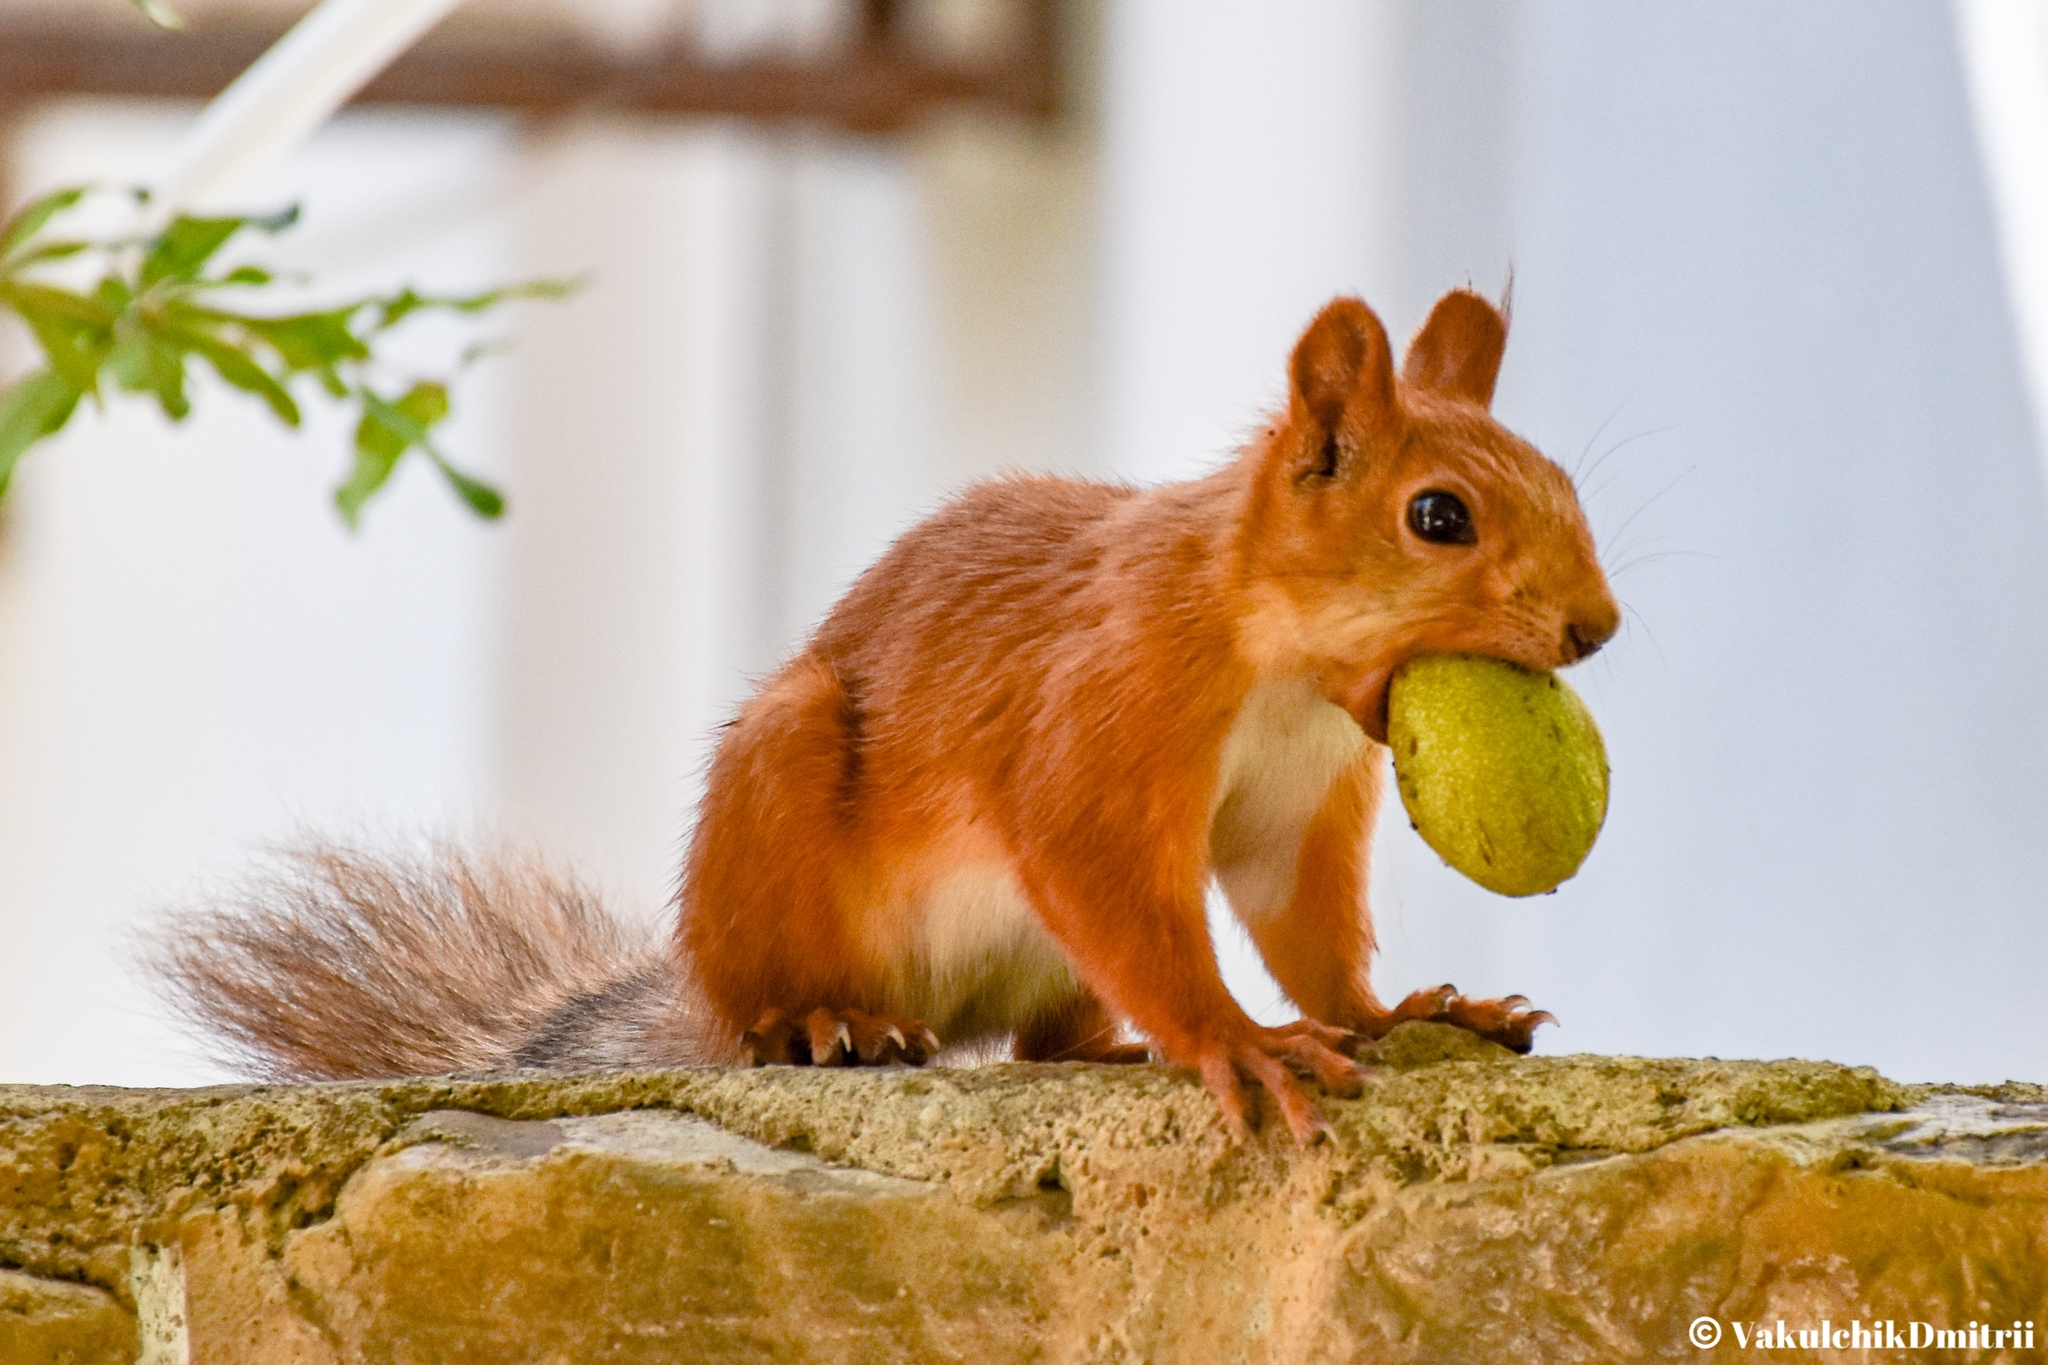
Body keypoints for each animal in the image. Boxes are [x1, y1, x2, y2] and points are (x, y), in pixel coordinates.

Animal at [155, 288, 1613, 1146]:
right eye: (1437, 516)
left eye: (1559, 477)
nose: (1594, 627)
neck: (1280, 663)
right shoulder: (1104, 711)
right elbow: (1104, 869)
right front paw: (1237, 1043)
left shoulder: (1301, 805)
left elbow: (1302, 925)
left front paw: (1397, 1008)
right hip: (781, 791)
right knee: (774, 1007)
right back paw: (826, 1027)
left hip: (1034, 965)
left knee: (1039, 1032)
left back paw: (1093, 1041)